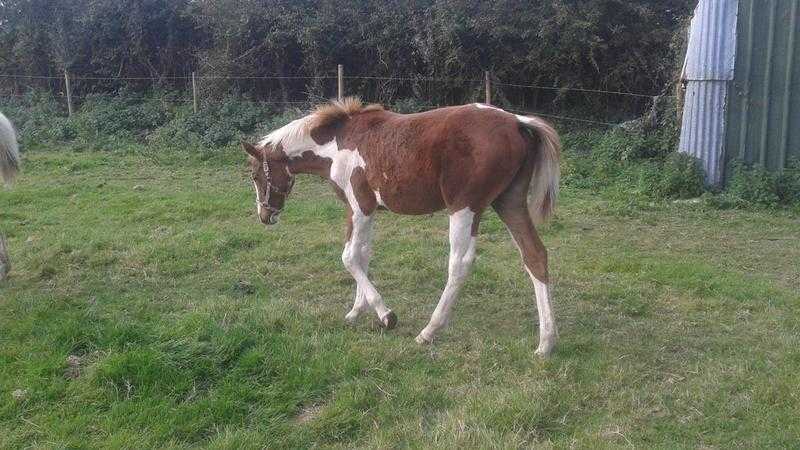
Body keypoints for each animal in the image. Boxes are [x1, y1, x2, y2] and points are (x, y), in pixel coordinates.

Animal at [244, 97, 564, 356]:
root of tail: (517, 122)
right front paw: (356, 311)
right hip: (509, 203)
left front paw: (386, 315)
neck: (338, 142)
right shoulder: (364, 211)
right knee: (535, 255)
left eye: (256, 177)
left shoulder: (360, 207)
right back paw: (546, 343)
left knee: (459, 264)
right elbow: (363, 255)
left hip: (465, 208)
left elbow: (349, 257)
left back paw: (429, 331)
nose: (265, 216)